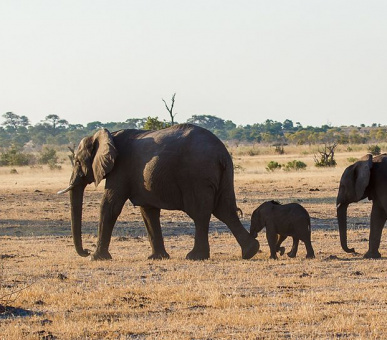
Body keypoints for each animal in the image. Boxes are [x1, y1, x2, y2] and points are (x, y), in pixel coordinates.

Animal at [59, 124, 260, 260]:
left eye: (77, 162)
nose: (85, 251)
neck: (108, 135)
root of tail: (221, 152)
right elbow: (148, 212)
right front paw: (157, 258)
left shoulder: (120, 169)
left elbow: (110, 205)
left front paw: (96, 258)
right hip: (223, 174)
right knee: (224, 210)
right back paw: (250, 251)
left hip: (196, 175)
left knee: (201, 213)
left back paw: (195, 256)